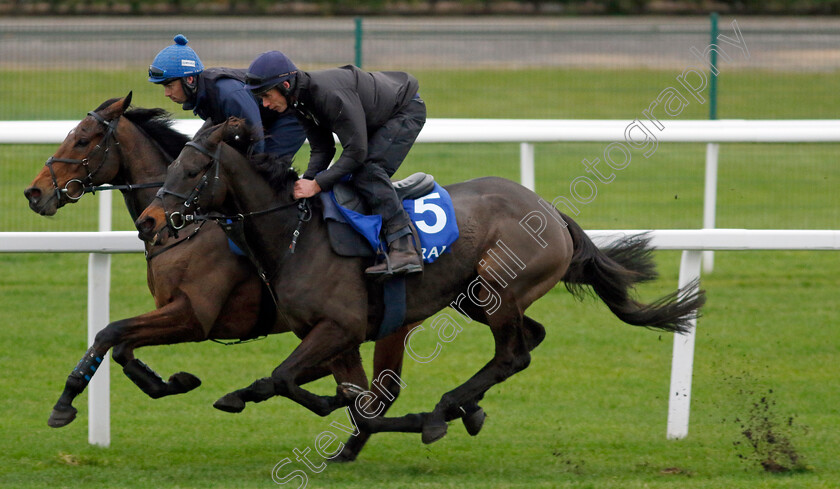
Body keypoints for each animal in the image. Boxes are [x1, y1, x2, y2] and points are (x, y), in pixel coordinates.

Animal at [23, 95, 410, 462]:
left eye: (82, 140)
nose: (34, 193)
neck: (185, 228)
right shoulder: (171, 310)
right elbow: (121, 347)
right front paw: (173, 381)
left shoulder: (195, 315)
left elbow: (110, 332)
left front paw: (64, 403)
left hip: (382, 323)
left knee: (381, 390)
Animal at [136, 120, 704, 444]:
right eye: (175, 162)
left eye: (194, 170)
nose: (149, 220)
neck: (297, 236)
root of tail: (550, 210)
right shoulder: (331, 334)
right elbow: (340, 396)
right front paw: (247, 396)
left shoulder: (338, 327)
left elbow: (295, 381)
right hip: (474, 295)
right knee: (530, 338)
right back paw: (463, 406)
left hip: (498, 287)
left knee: (512, 354)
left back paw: (447, 408)